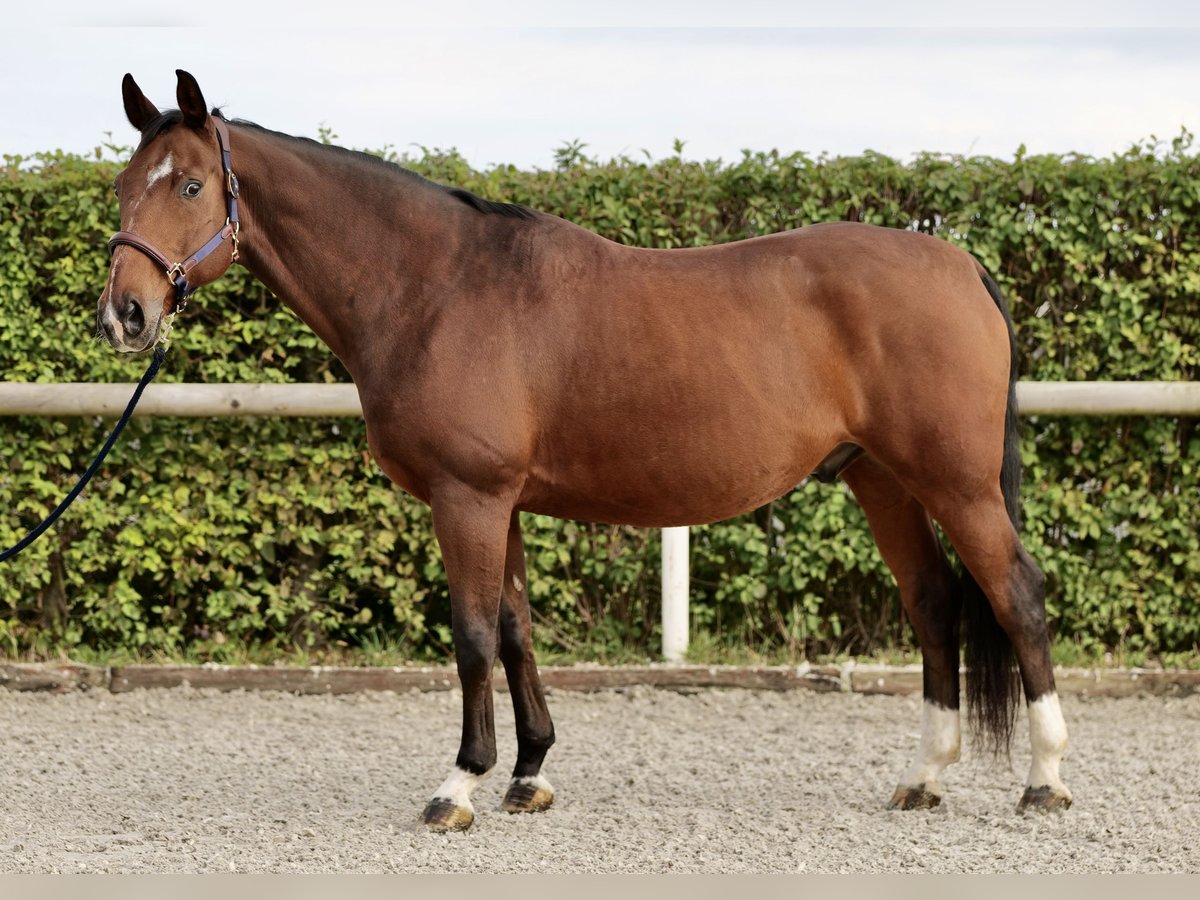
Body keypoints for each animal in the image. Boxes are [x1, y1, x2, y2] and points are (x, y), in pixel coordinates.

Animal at [93, 70, 1070, 830]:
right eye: (123, 186)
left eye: (189, 187)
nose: (124, 315)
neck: (436, 288)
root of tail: (960, 264)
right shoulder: (503, 502)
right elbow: (517, 629)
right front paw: (528, 775)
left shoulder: (469, 497)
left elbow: (473, 636)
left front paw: (458, 786)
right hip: (883, 481)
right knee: (935, 604)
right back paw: (924, 779)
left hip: (956, 482)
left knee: (1016, 595)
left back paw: (1045, 782)